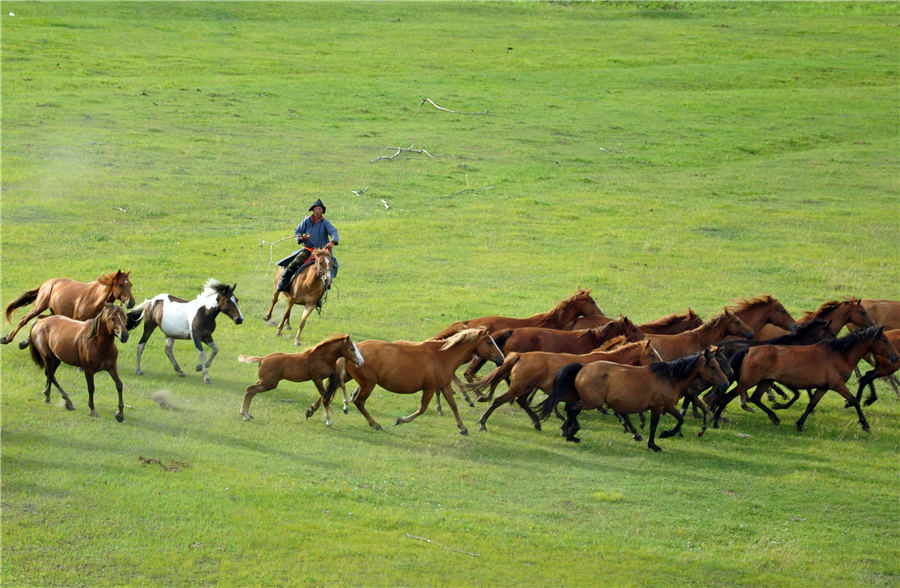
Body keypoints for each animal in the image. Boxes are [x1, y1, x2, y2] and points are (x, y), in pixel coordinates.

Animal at [1, 270, 134, 346]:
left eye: (130, 285)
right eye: (121, 285)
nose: (131, 302)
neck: (95, 298)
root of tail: (46, 283)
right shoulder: (77, 320)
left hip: (54, 312)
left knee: (40, 318)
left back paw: (25, 342)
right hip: (39, 306)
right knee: (24, 319)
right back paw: (7, 339)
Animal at [328, 328, 502, 434]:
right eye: (489, 342)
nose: (501, 359)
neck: (443, 356)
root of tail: (354, 349)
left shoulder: (444, 386)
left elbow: (453, 406)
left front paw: (463, 428)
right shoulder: (430, 388)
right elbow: (422, 409)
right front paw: (400, 420)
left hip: (351, 377)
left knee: (334, 388)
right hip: (368, 384)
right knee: (359, 401)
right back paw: (374, 424)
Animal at [468, 340, 656, 432]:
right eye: (652, 355)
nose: (660, 364)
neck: (608, 364)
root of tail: (520, 355)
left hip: (526, 388)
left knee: (522, 402)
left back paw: (537, 423)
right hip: (519, 387)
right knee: (499, 400)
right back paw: (482, 422)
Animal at [536, 346, 728, 452]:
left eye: (718, 365)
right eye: (713, 366)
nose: (725, 383)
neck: (670, 377)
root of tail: (583, 367)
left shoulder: (667, 406)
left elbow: (680, 419)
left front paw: (666, 434)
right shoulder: (658, 407)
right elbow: (653, 426)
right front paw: (655, 443)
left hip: (588, 400)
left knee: (571, 409)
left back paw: (568, 431)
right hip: (592, 402)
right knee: (571, 408)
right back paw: (572, 433)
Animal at [712, 326, 900, 432]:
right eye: (884, 340)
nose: (895, 357)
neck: (840, 354)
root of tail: (748, 350)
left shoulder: (823, 387)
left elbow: (811, 405)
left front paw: (799, 424)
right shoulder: (837, 385)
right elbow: (854, 400)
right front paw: (865, 425)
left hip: (765, 381)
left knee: (755, 398)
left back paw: (775, 417)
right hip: (748, 381)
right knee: (727, 397)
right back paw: (715, 422)